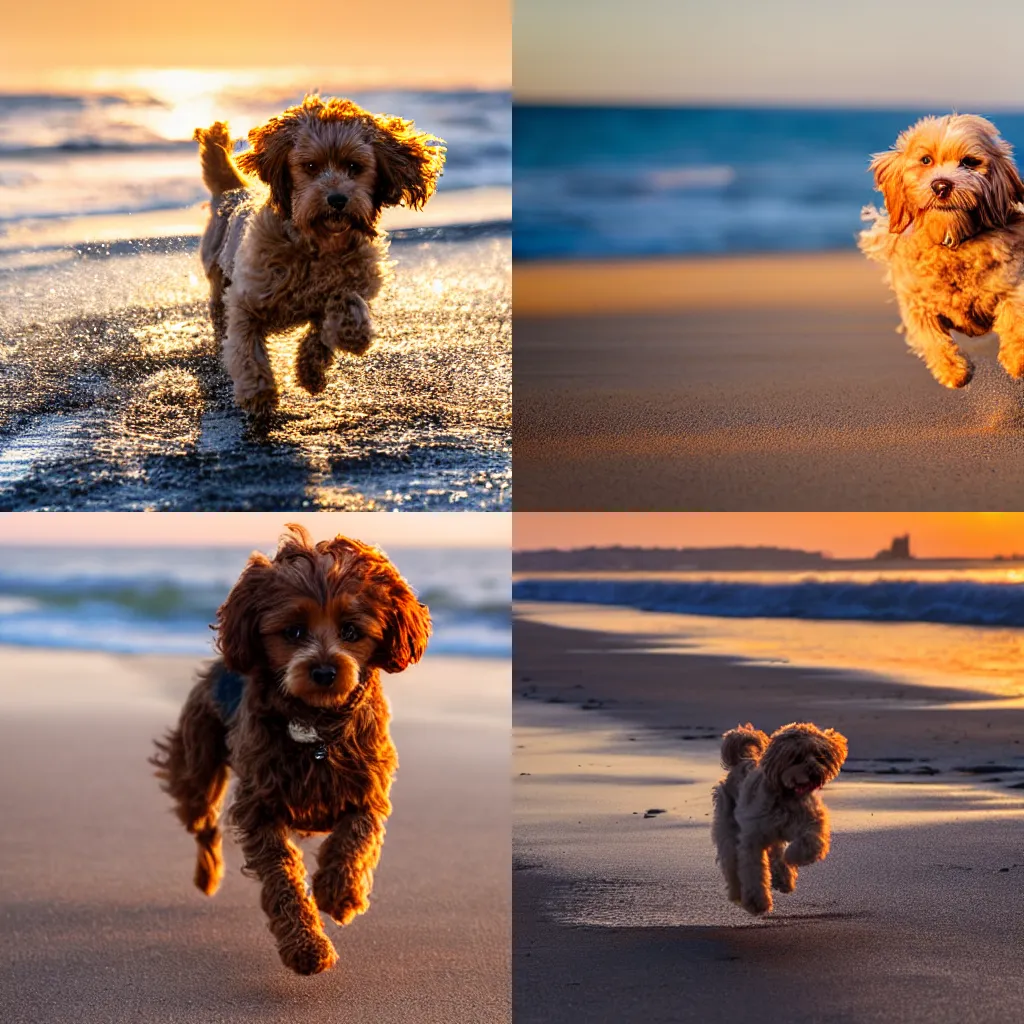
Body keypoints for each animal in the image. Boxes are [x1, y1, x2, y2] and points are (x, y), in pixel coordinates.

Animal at [149, 528, 430, 974]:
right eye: (293, 632)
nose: (324, 671)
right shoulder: (259, 807)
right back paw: (208, 876)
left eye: (352, 631)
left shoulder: (368, 789)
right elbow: (283, 877)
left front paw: (339, 893)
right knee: (203, 822)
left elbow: (357, 836)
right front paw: (307, 948)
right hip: (197, 765)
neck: (316, 727)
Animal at [193, 96, 446, 413]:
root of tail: (233, 190)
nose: (337, 199)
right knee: (219, 315)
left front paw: (340, 345)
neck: (319, 242)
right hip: (217, 276)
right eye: (310, 166)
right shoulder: (247, 300)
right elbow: (246, 348)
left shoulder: (352, 280)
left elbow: (334, 314)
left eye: (354, 166)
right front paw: (258, 391)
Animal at [712, 724, 847, 917]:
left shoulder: (811, 820)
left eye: (820, 755)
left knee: (774, 852)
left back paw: (783, 878)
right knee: (730, 861)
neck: (787, 794)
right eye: (798, 756)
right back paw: (737, 893)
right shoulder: (752, 837)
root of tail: (742, 761)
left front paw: (792, 856)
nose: (815, 771)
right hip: (728, 827)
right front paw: (757, 902)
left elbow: (811, 842)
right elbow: (753, 870)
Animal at [856, 113, 1024, 387]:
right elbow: (930, 336)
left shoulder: (1012, 280)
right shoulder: (916, 300)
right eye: (926, 160)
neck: (952, 242)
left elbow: (1015, 315)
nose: (941, 186)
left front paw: (1016, 358)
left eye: (969, 162)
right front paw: (953, 371)